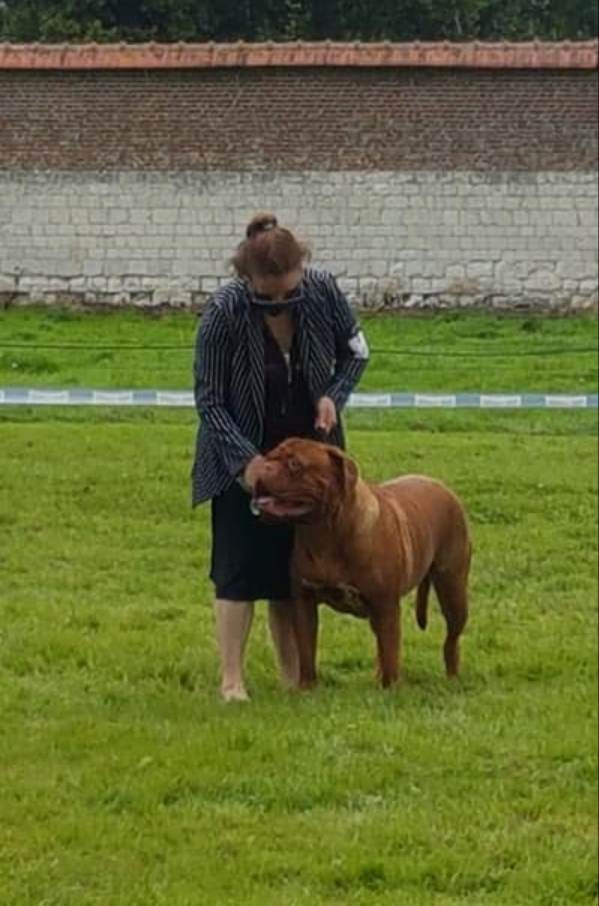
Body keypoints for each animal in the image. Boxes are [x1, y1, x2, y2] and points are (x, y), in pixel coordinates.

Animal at [251, 438, 472, 684]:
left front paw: (391, 688)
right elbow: (306, 652)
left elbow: (391, 652)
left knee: (451, 638)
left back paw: (452, 677)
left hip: (452, 589)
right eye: (269, 456)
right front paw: (307, 687)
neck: (324, 534)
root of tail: (442, 486)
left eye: (295, 464)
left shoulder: (385, 605)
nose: (262, 468)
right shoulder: (304, 601)